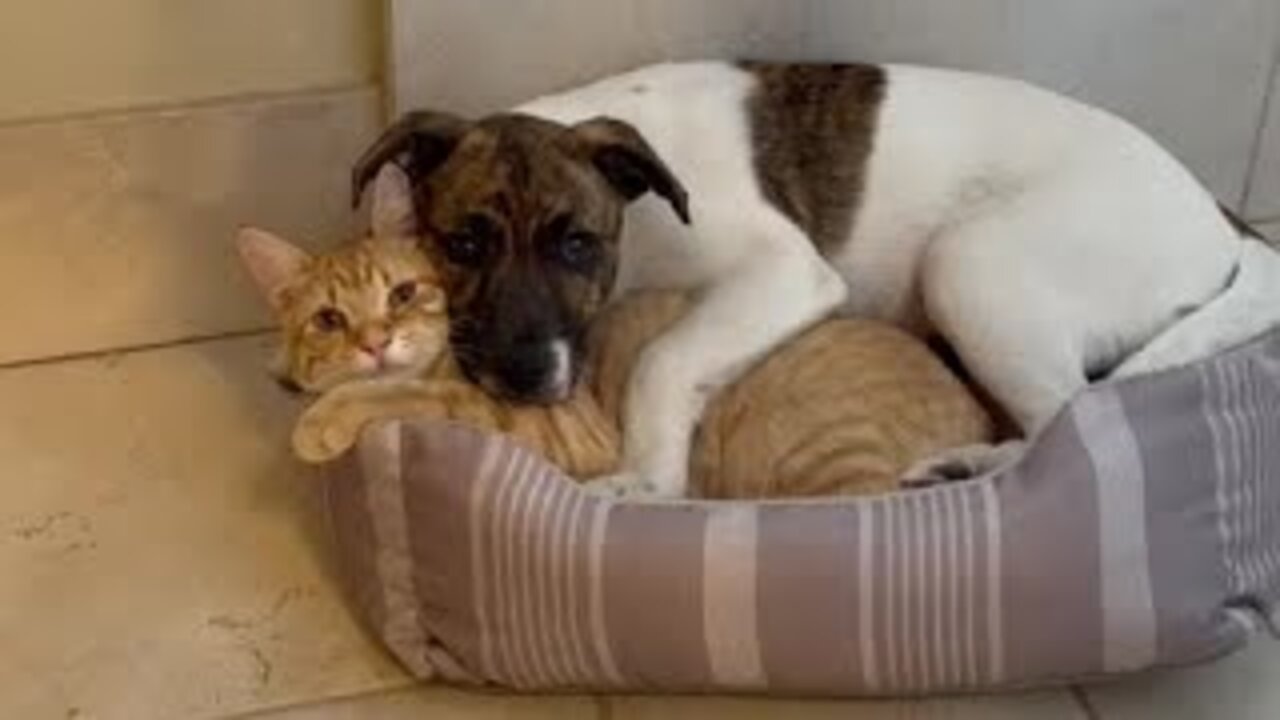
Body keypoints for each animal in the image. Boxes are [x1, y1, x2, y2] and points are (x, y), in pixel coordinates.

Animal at [348, 63, 1280, 491]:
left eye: (578, 244)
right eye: (462, 244)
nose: (522, 374)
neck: (643, 218)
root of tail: (1222, 220)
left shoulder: (788, 273)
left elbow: (663, 360)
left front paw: (650, 479)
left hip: (970, 264)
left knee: (1068, 420)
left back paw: (967, 469)